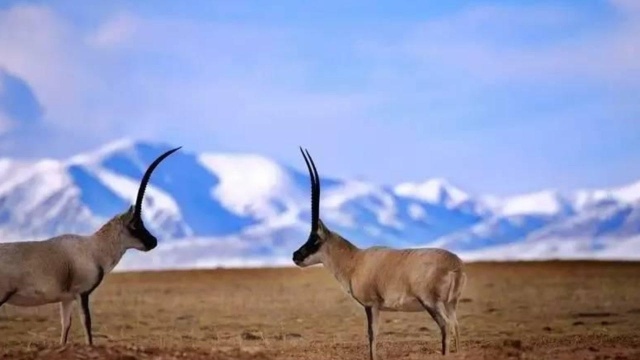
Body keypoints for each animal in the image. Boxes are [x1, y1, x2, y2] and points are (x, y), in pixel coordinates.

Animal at [0, 146, 181, 346]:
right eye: (135, 224)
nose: (153, 241)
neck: (94, 249)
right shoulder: (82, 293)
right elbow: (86, 322)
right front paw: (90, 346)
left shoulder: (66, 299)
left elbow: (66, 325)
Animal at [292, 148, 468, 358]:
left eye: (315, 239)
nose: (295, 256)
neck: (354, 260)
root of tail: (455, 264)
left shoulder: (371, 305)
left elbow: (371, 334)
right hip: (451, 304)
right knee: (456, 325)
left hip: (431, 303)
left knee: (446, 325)